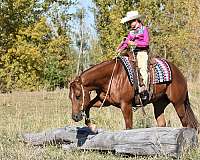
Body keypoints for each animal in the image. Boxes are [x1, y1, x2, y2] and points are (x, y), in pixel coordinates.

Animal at [68, 55, 198, 131]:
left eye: (78, 96)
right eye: (70, 97)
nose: (75, 117)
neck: (112, 76)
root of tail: (179, 74)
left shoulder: (126, 105)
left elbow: (129, 126)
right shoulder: (104, 101)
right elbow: (88, 106)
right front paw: (93, 127)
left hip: (178, 103)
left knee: (186, 123)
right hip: (159, 104)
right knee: (162, 123)